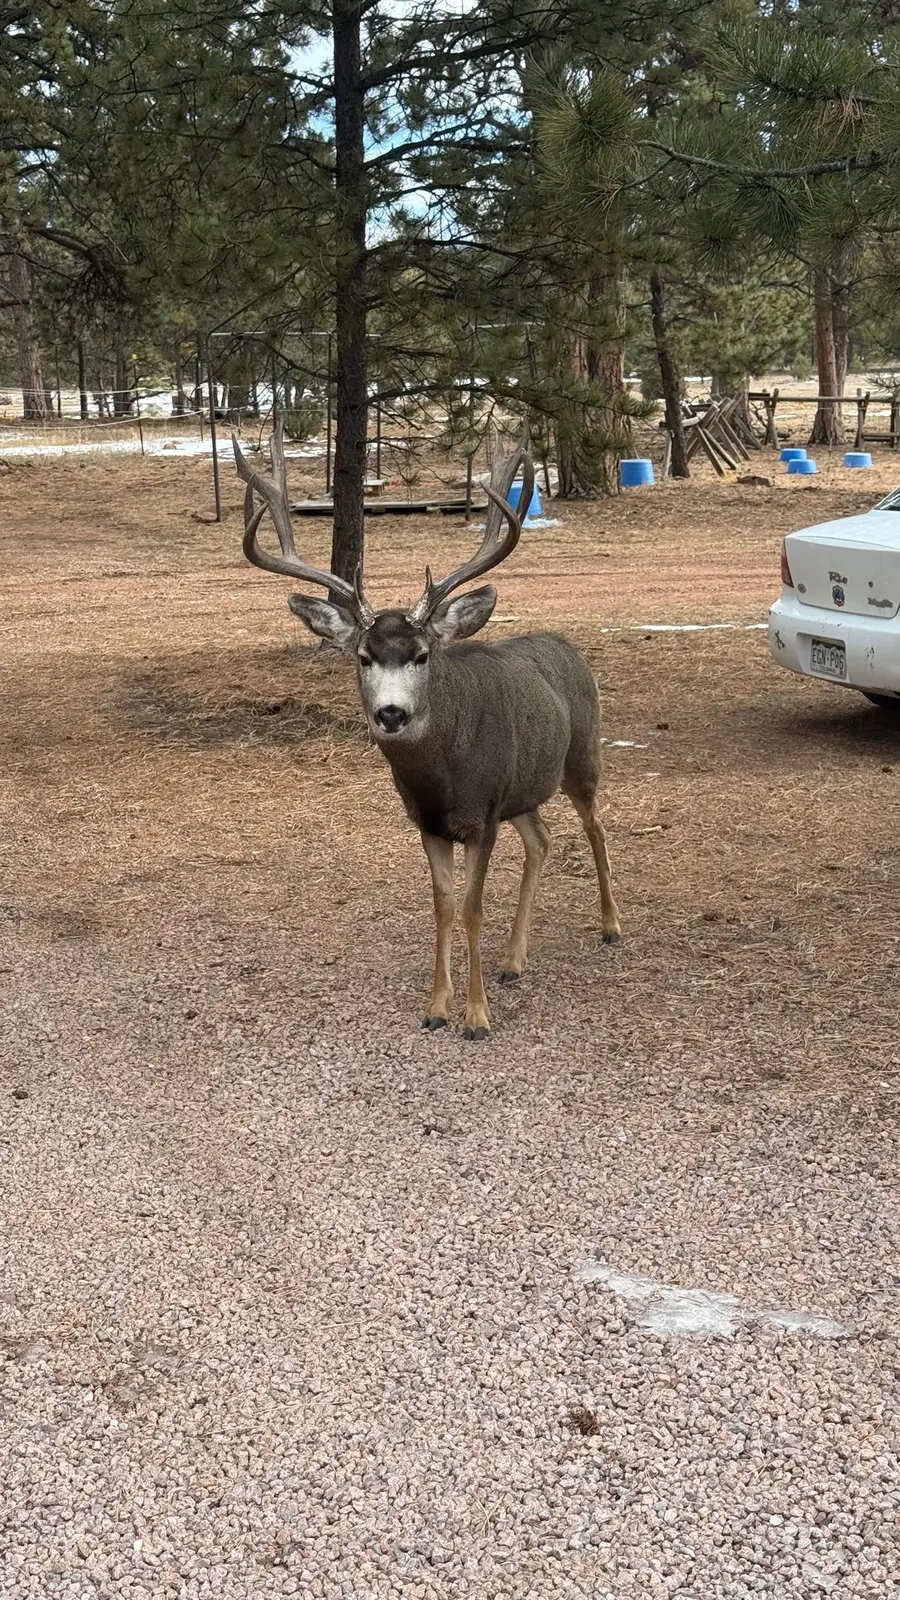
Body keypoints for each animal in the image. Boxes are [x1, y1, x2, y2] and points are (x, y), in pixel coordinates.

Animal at [233, 425, 621, 1039]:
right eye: (363, 656)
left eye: (421, 655)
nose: (392, 714)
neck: (442, 777)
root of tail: (568, 646)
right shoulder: (431, 822)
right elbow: (442, 907)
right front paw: (437, 1008)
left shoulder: (482, 814)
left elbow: (472, 908)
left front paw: (477, 1017)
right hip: (522, 791)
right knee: (542, 840)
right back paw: (515, 960)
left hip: (581, 758)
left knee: (597, 827)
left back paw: (610, 927)